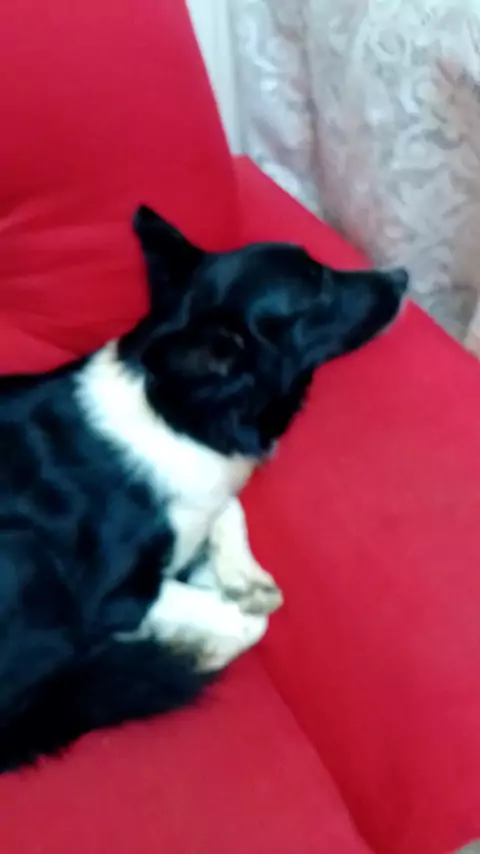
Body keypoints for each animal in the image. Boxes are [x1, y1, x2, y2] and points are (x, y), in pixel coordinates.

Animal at [0, 205, 408, 772]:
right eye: (316, 288)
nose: (403, 278)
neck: (179, 412)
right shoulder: (112, 599)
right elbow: (247, 624)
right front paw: (202, 646)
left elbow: (228, 509)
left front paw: (243, 575)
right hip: (25, 559)